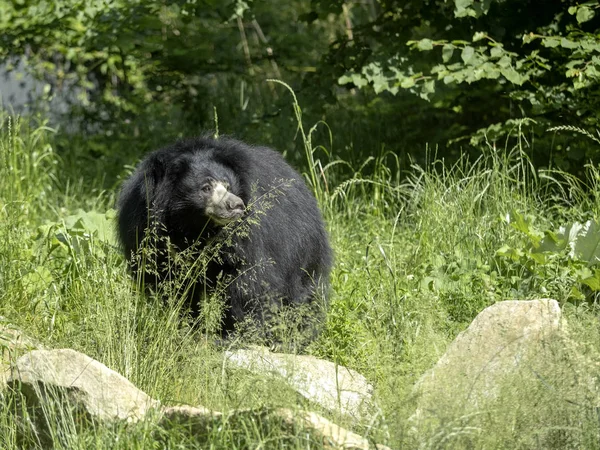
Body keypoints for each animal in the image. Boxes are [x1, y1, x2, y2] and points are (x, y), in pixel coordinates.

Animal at [116, 135, 332, 342]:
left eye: (228, 185)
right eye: (205, 188)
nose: (237, 205)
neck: (195, 226)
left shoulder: (249, 235)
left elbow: (249, 279)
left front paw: (234, 334)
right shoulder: (147, 231)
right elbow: (169, 283)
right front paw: (185, 326)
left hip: (304, 251)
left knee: (303, 295)